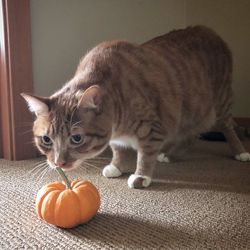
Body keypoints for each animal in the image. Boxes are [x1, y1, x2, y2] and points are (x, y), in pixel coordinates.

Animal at [22, 25, 250, 189]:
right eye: (46, 140)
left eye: (77, 138)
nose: (58, 163)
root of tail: (208, 30)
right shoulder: (116, 136)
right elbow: (118, 149)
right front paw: (116, 166)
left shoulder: (151, 129)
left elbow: (146, 155)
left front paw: (141, 176)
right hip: (191, 112)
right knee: (191, 134)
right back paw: (170, 154)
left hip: (220, 102)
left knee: (227, 127)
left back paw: (240, 152)